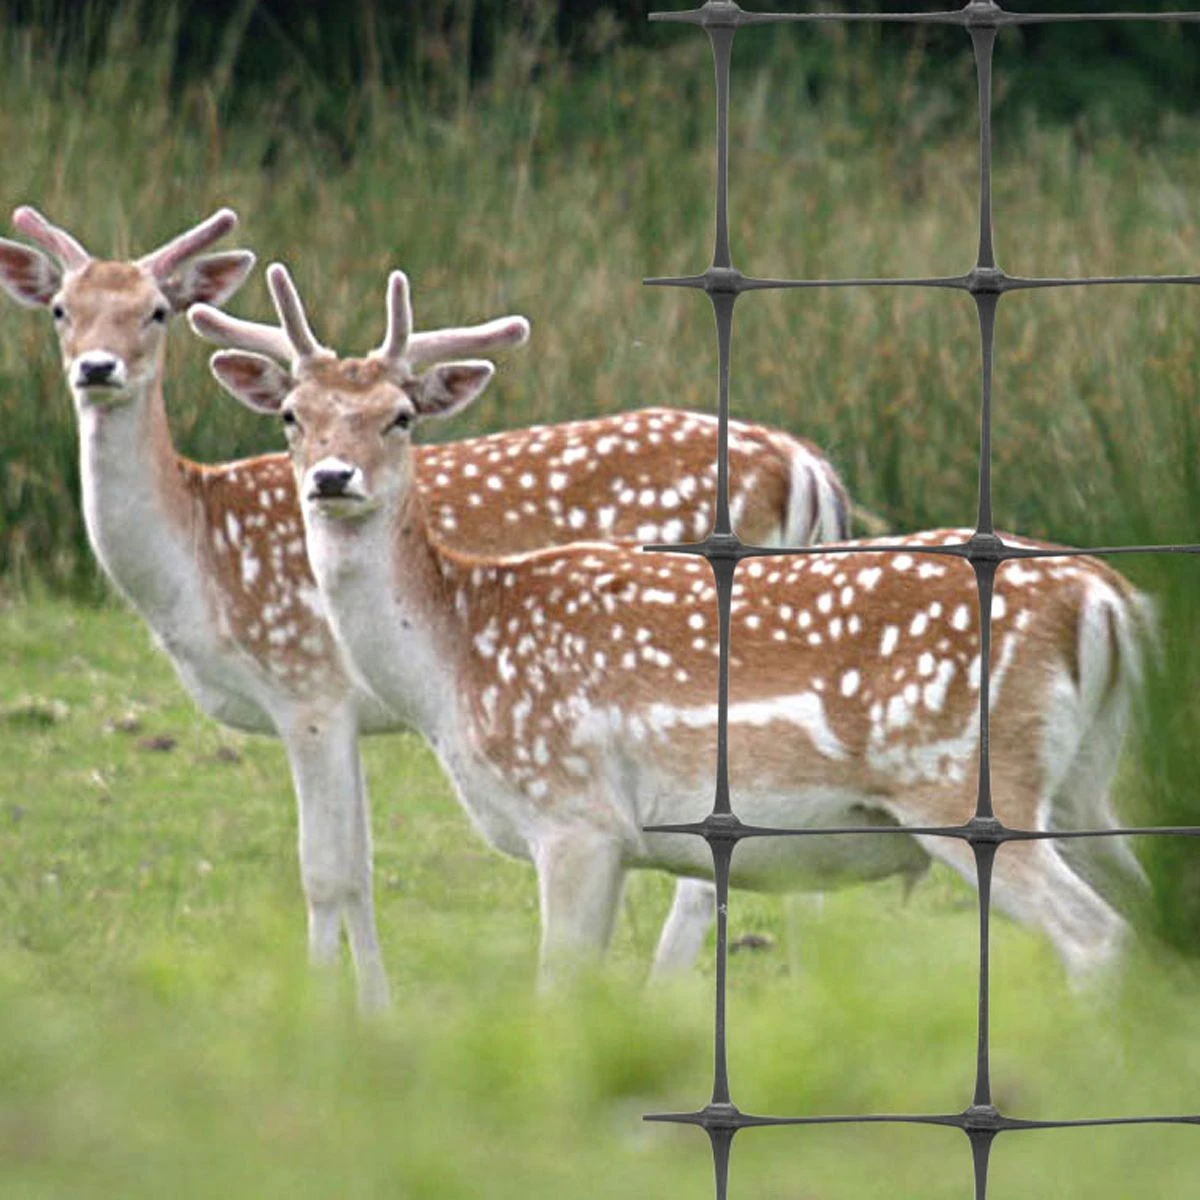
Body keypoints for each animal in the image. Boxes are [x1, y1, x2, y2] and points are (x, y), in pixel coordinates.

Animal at [0, 208, 852, 1009]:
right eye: (62, 310)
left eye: (155, 311)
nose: (97, 368)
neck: (194, 568)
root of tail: (805, 464)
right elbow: (361, 864)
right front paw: (373, 1007)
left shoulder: (306, 686)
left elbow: (328, 871)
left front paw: (331, 1010)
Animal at [199, 262, 1152, 985]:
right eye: (291, 416)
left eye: (400, 416)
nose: (331, 478)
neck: (454, 664)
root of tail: (1107, 600)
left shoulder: (574, 817)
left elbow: (556, 995)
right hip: (1083, 786)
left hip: (965, 784)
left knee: (1097, 935)